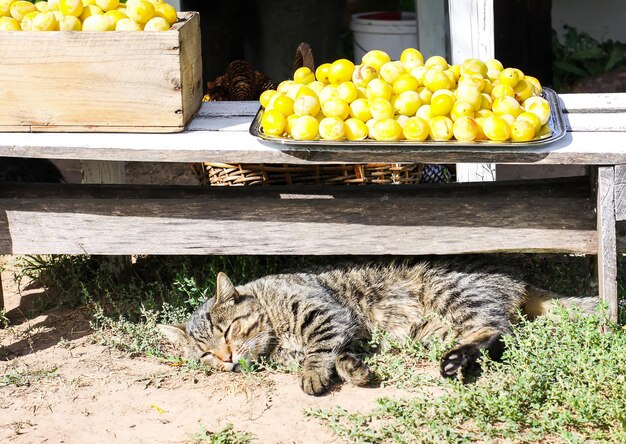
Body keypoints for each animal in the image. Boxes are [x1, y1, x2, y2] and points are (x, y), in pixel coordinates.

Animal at [158, 256, 592, 396]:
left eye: (227, 332)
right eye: (204, 354)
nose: (226, 358)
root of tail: (515, 277)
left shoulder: (323, 313)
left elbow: (319, 350)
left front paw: (313, 376)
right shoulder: (347, 331)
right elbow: (342, 354)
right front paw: (354, 370)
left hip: (453, 296)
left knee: (501, 331)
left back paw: (456, 361)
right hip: (432, 330)